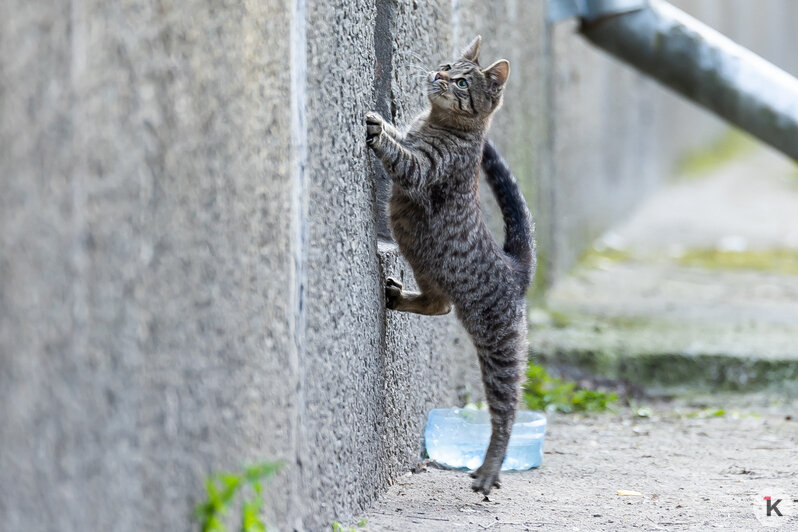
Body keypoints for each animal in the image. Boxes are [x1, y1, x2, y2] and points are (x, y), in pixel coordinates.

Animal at [368, 36, 536, 494]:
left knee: (507, 414)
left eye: (462, 82)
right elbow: (400, 137)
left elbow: (400, 155)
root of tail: (516, 269)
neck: (434, 123)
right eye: (446, 65)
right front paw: (385, 124)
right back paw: (397, 296)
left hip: (499, 352)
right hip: (428, 270)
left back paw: (490, 469)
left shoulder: (423, 169)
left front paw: (375, 128)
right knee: (438, 304)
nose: (438, 75)